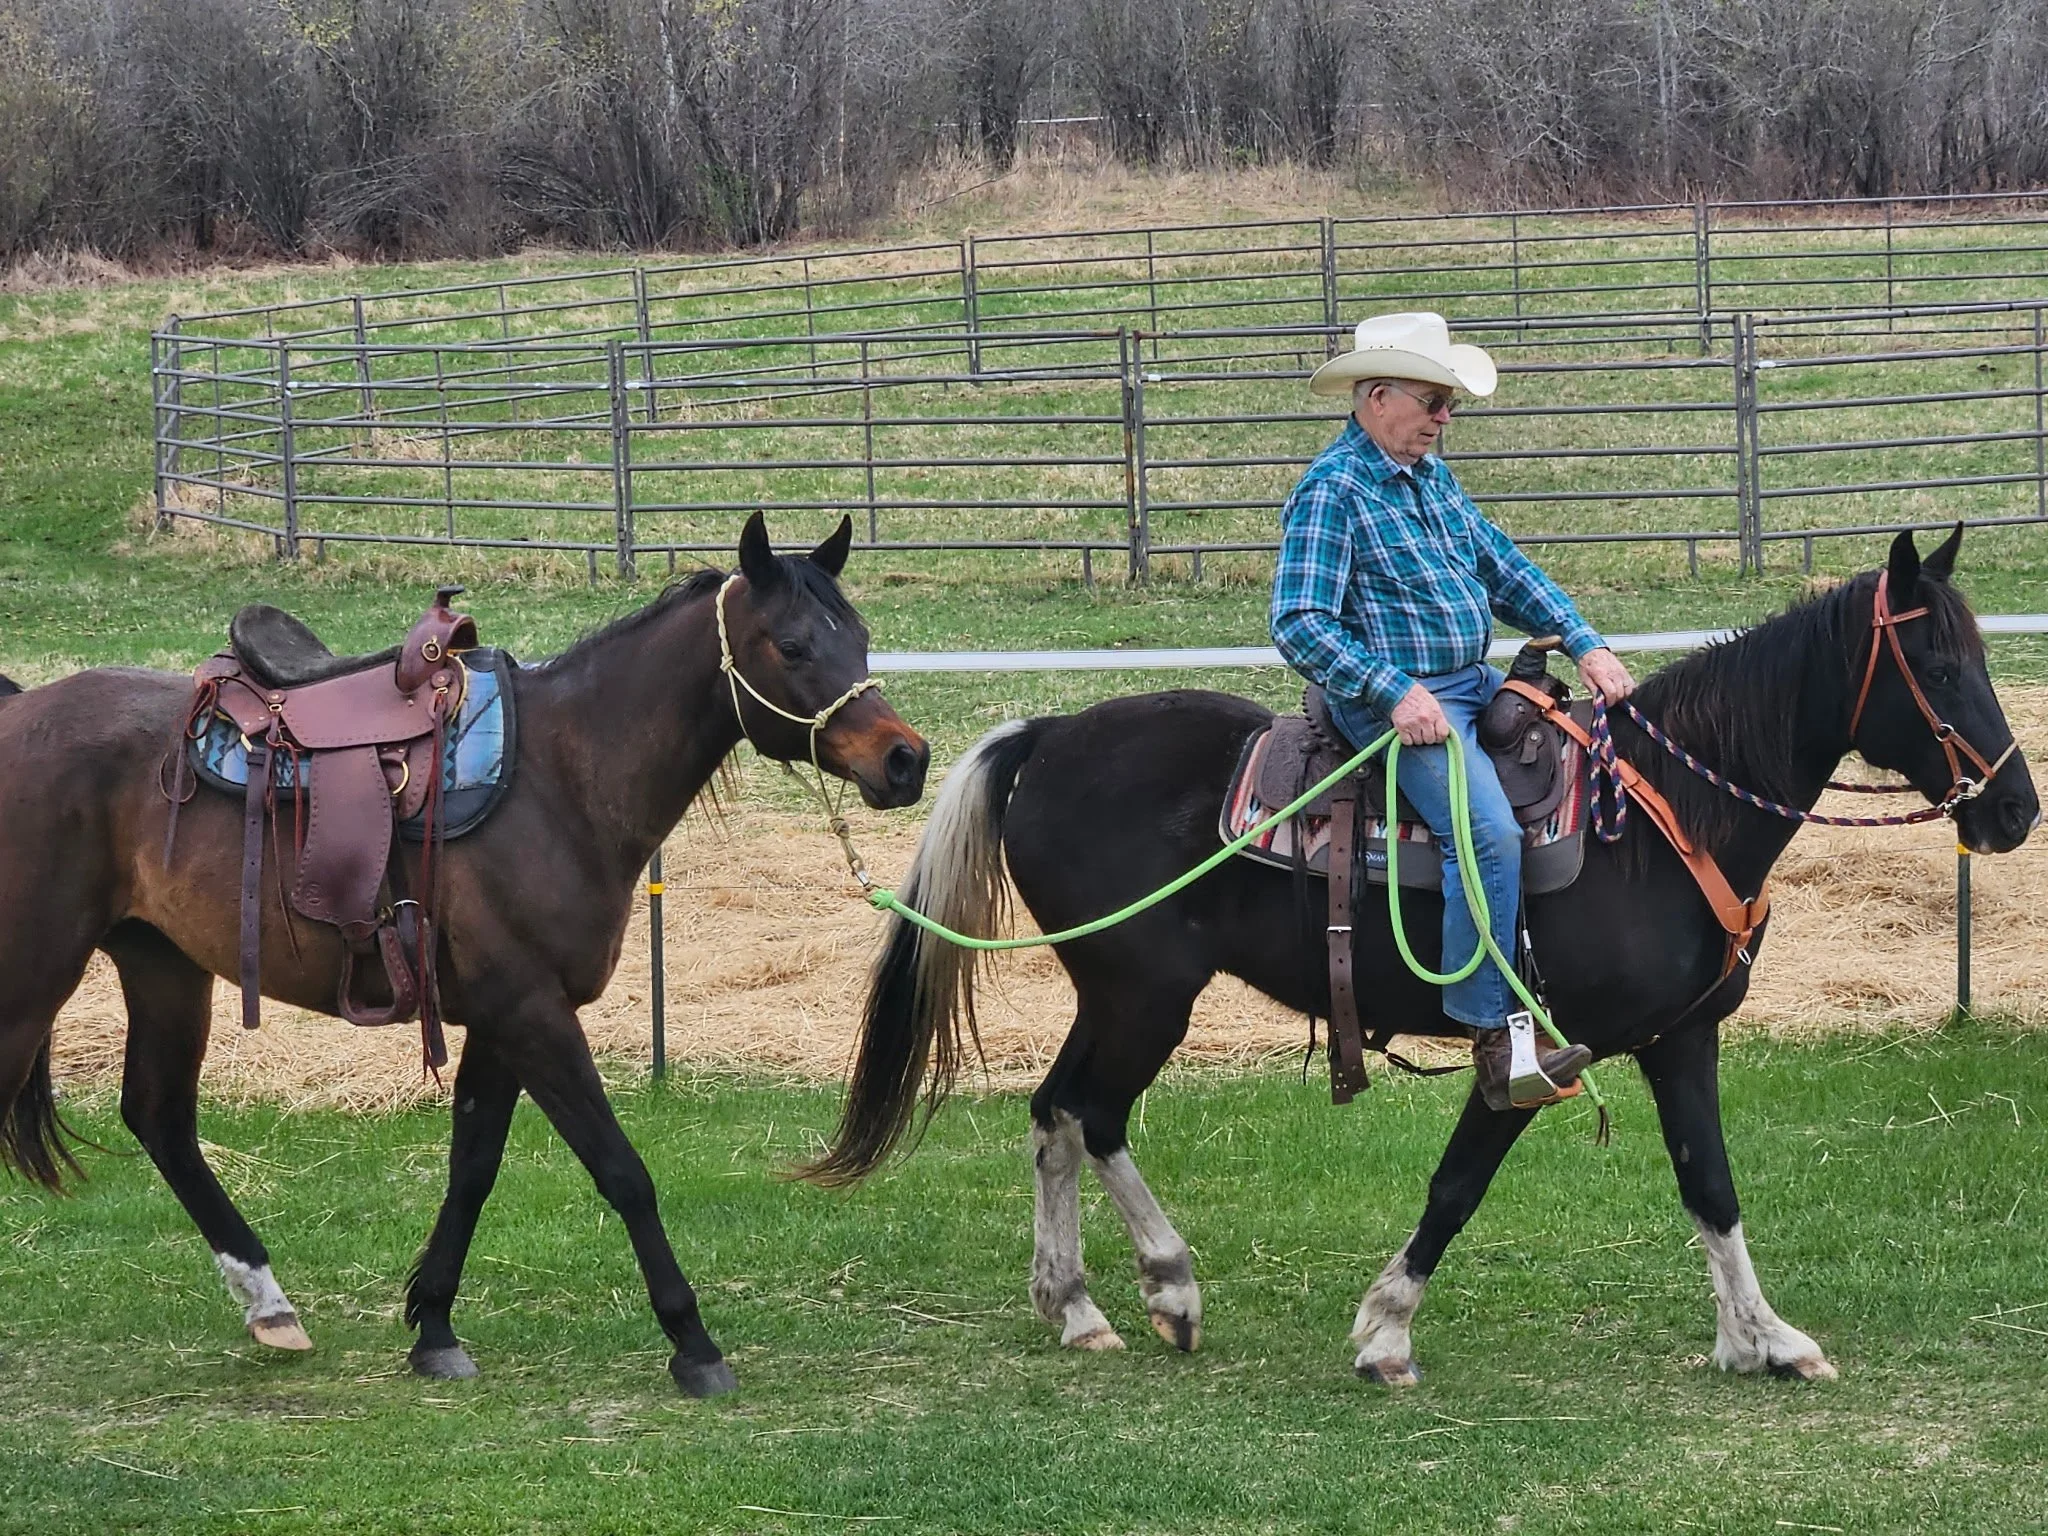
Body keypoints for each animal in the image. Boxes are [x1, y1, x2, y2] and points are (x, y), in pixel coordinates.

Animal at [0, 512, 928, 1397]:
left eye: (860, 635)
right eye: (794, 645)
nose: (905, 760)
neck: (561, 780)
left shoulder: (497, 1019)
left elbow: (472, 1167)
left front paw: (435, 1326)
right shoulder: (532, 1014)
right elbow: (621, 1170)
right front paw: (691, 1342)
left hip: (163, 965)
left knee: (160, 1117)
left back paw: (270, 1305)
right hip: (33, 977)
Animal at [807, 528, 2038, 1385]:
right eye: (1933, 663)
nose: (2014, 809)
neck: (1657, 819)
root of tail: (1049, 734)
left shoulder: (1678, 1039)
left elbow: (1710, 1185)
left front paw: (1763, 1339)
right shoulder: (1532, 1057)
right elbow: (1456, 1187)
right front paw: (1384, 1334)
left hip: (1111, 996)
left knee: (1056, 1115)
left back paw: (1076, 1305)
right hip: (1145, 996)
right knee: (1093, 1114)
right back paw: (1167, 1290)